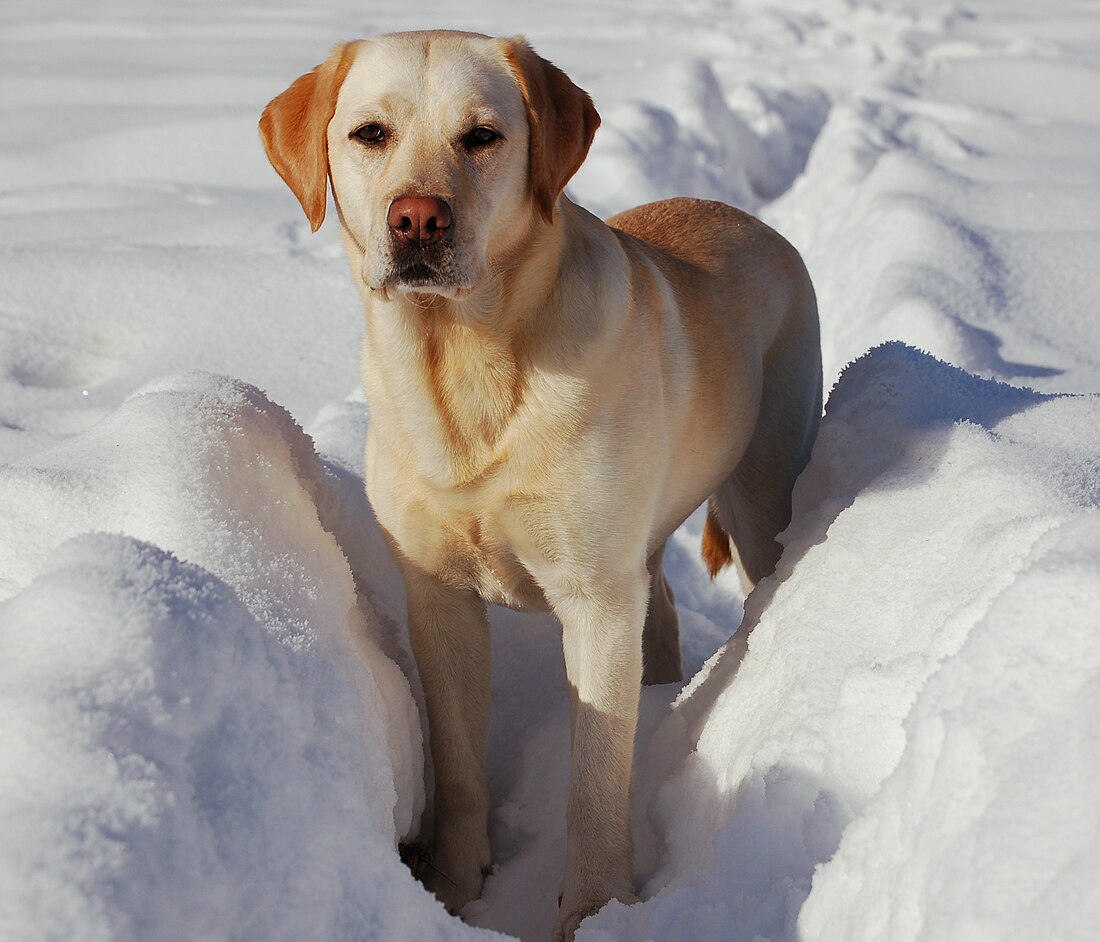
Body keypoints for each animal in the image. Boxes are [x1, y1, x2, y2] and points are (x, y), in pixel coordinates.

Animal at [261, 31, 822, 942]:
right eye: (370, 133)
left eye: (482, 136)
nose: (418, 219)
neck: (463, 363)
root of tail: (752, 220)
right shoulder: (439, 598)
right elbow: (459, 769)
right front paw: (455, 891)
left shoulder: (594, 599)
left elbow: (595, 783)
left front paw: (594, 912)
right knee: (662, 608)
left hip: (759, 492)